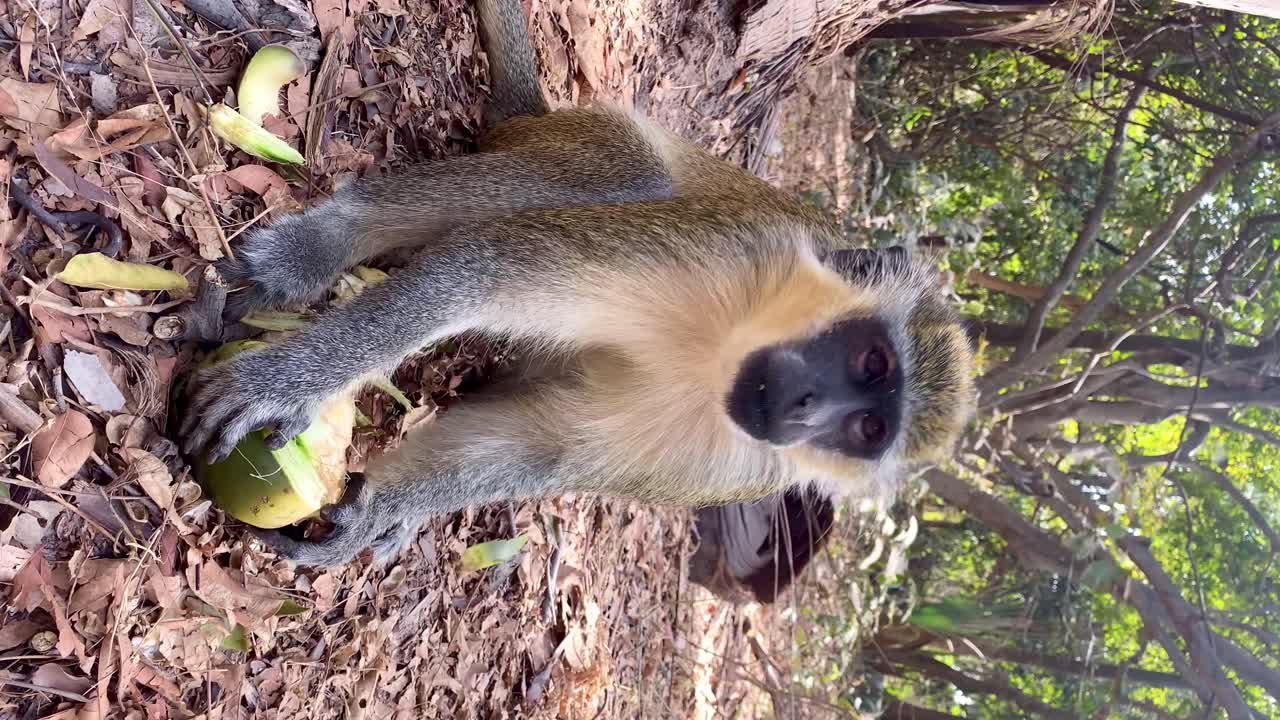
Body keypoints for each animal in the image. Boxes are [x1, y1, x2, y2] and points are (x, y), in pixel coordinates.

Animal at [180, 0, 977, 567]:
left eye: (869, 429)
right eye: (870, 360)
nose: (810, 407)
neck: (723, 354)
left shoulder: (743, 464)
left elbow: (542, 449)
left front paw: (380, 507)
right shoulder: (727, 250)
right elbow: (488, 268)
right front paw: (290, 380)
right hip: (589, 134)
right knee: (634, 177)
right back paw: (325, 246)